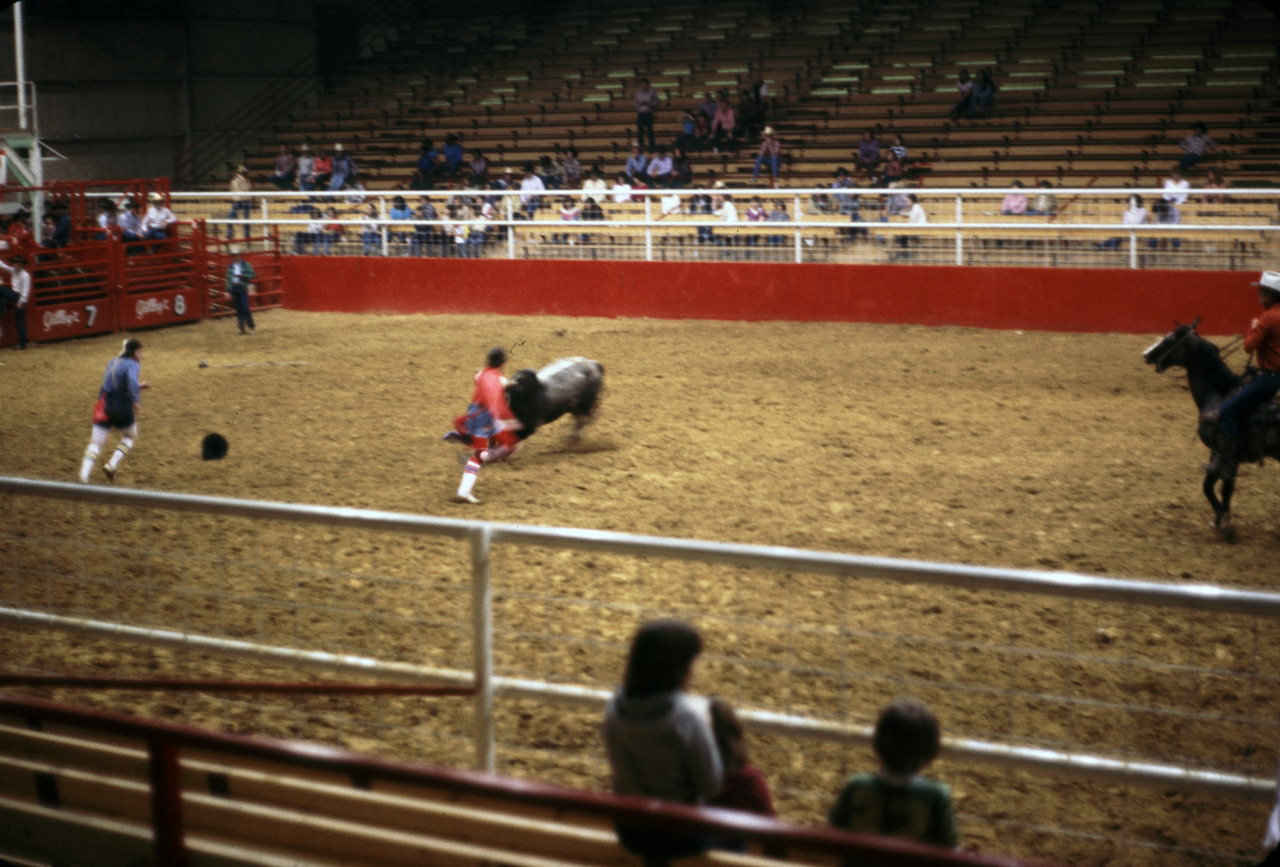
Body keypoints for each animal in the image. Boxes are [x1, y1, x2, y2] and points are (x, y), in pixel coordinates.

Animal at [1146, 317, 1280, 535]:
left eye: (1170, 339)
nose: (1146, 355)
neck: (1219, 395)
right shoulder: (1224, 454)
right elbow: (1223, 488)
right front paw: (1220, 520)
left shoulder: (1222, 450)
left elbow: (1212, 487)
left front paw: (1224, 524)